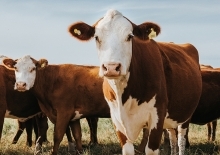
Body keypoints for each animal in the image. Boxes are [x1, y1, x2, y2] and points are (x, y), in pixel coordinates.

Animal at [68, 9, 202, 154]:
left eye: (129, 36)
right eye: (96, 37)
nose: (111, 67)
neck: (124, 95)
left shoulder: (157, 116)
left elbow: (151, 149)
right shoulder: (117, 119)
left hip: (185, 116)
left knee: (181, 140)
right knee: (172, 137)